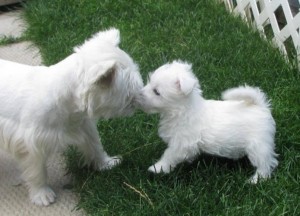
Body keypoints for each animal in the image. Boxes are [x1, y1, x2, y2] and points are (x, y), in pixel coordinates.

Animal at [0, 27, 144, 205]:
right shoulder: (32, 142)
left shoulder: (84, 126)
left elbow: (95, 146)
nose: (142, 98)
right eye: (130, 92)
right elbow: (36, 170)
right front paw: (41, 194)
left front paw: (107, 163)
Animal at [139, 60, 278, 184]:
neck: (182, 110)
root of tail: (260, 105)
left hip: (258, 145)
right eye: (149, 82)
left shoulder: (181, 143)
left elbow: (169, 155)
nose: (139, 94)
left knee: (265, 164)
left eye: (157, 92)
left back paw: (256, 180)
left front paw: (157, 168)